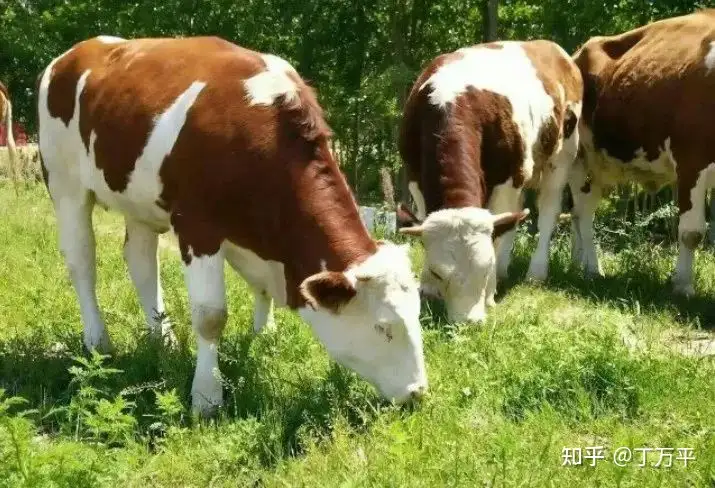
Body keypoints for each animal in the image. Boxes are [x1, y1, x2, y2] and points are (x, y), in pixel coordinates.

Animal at [39, 36, 428, 414]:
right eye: (383, 328)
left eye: (417, 314)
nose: (418, 393)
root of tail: (74, 52)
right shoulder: (197, 227)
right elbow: (211, 317)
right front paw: (206, 396)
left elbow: (261, 289)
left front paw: (264, 337)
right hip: (65, 184)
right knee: (82, 263)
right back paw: (97, 341)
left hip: (138, 202)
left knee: (141, 264)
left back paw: (162, 340)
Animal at [400, 41, 584, 324]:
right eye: (439, 272)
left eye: (485, 268)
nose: (469, 322)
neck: (451, 100)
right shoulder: (413, 176)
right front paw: (428, 288)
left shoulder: (508, 179)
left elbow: (498, 236)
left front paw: (490, 293)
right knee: (515, 216)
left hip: (562, 156)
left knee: (547, 212)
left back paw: (536, 272)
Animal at [572, 9, 715, 296]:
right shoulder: (692, 159)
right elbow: (691, 232)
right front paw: (683, 286)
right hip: (581, 159)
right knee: (581, 214)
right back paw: (591, 269)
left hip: (601, 167)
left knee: (580, 212)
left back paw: (582, 264)